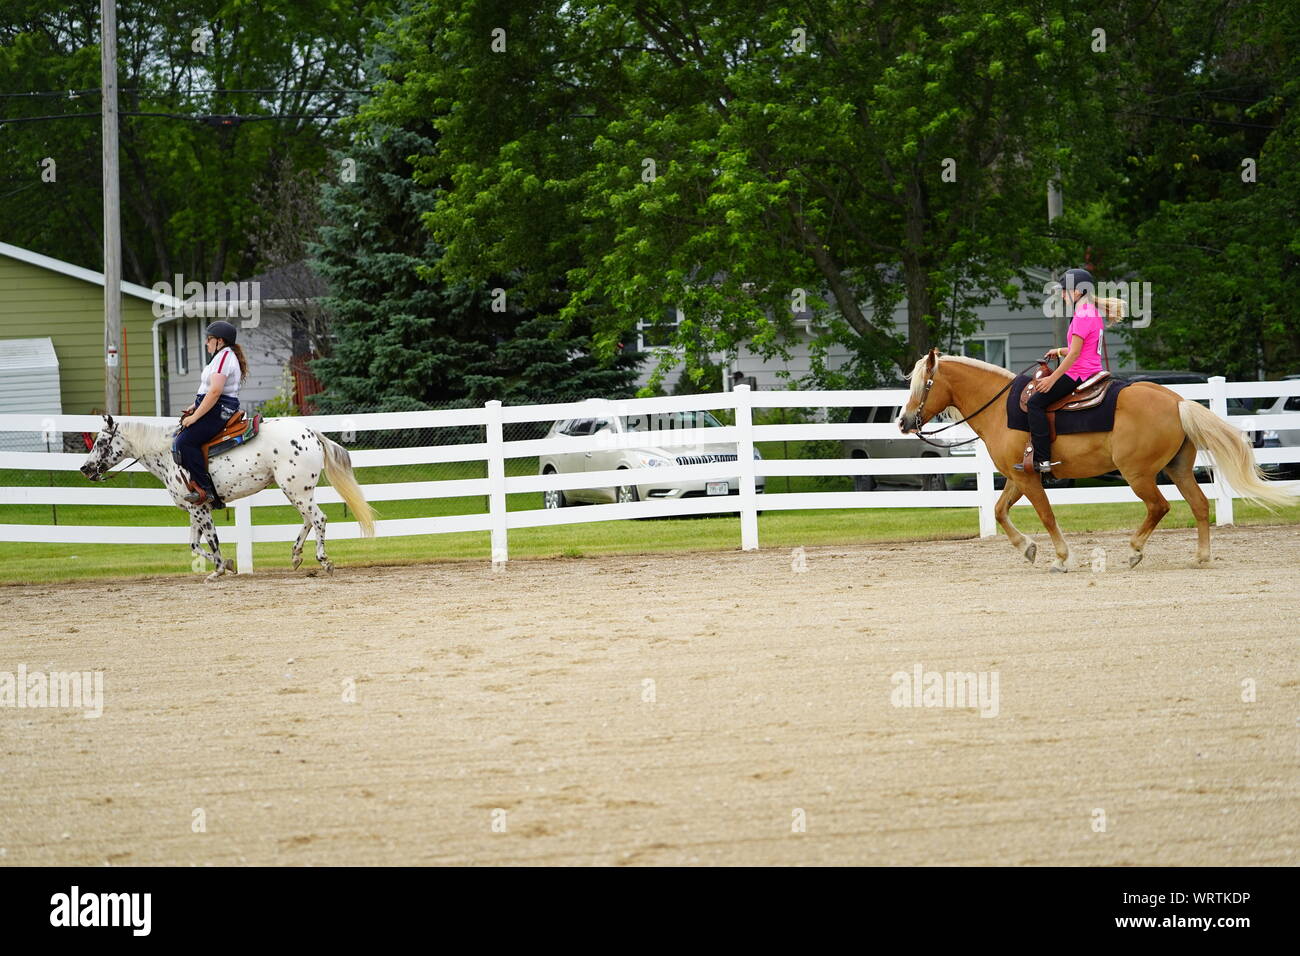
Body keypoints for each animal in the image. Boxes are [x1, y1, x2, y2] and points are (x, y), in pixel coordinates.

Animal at [79, 416, 377, 582]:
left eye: (101, 443)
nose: (85, 468)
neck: (167, 456)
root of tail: (311, 433)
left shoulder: (201, 509)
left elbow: (212, 541)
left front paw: (219, 570)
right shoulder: (194, 509)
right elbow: (194, 545)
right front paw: (229, 565)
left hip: (297, 489)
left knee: (318, 518)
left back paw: (324, 560)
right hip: (296, 490)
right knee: (309, 519)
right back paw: (295, 556)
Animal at [899, 353, 1294, 572]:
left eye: (923, 384)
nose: (903, 422)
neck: (1002, 410)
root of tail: (1177, 401)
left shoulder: (1029, 479)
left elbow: (1046, 516)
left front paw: (1061, 558)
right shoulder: (1016, 476)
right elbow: (998, 510)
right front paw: (1028, 549)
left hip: (1139, 474)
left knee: (1159, 507)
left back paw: (1135, 551)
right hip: (1178, 469)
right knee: (1198, 505)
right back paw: (1200, 557)